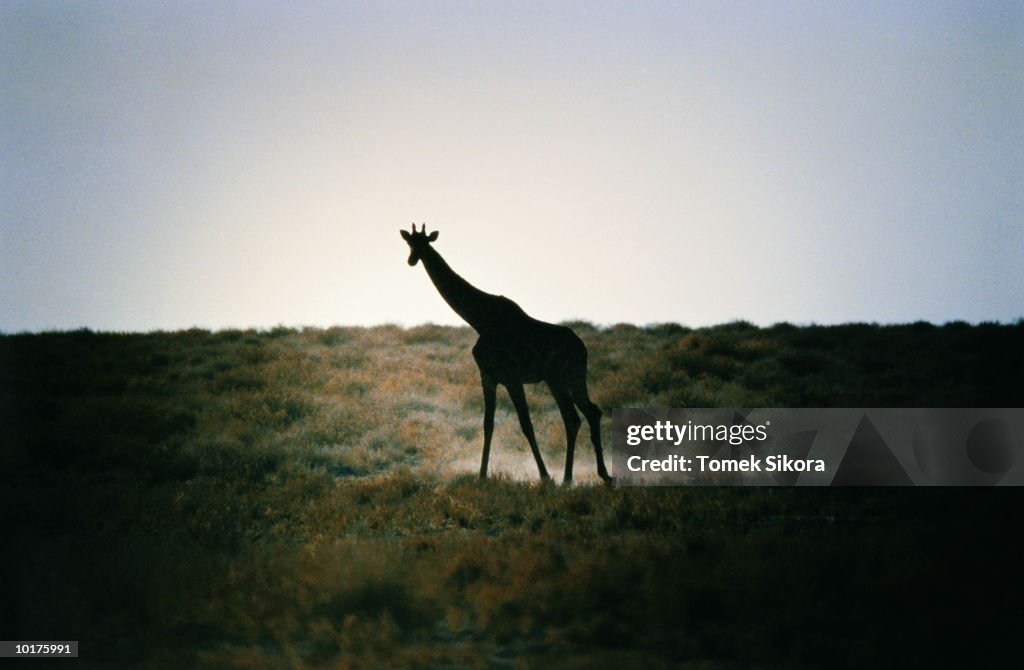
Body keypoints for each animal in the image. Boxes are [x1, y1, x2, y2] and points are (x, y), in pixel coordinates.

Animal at [397, 223, 606, 485]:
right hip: (555, 379)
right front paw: (482, 475)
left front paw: (545, 476)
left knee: (583, 414)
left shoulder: (512, 377)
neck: (479, 320)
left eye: (424, 243)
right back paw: (582, 477)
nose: (411, 260)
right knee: (579, 416)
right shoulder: (488, 375)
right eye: (409, 243)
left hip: (569, 375)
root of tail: (582, 347)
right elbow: (488, 424)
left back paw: (584, 477)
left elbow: (526, 424)